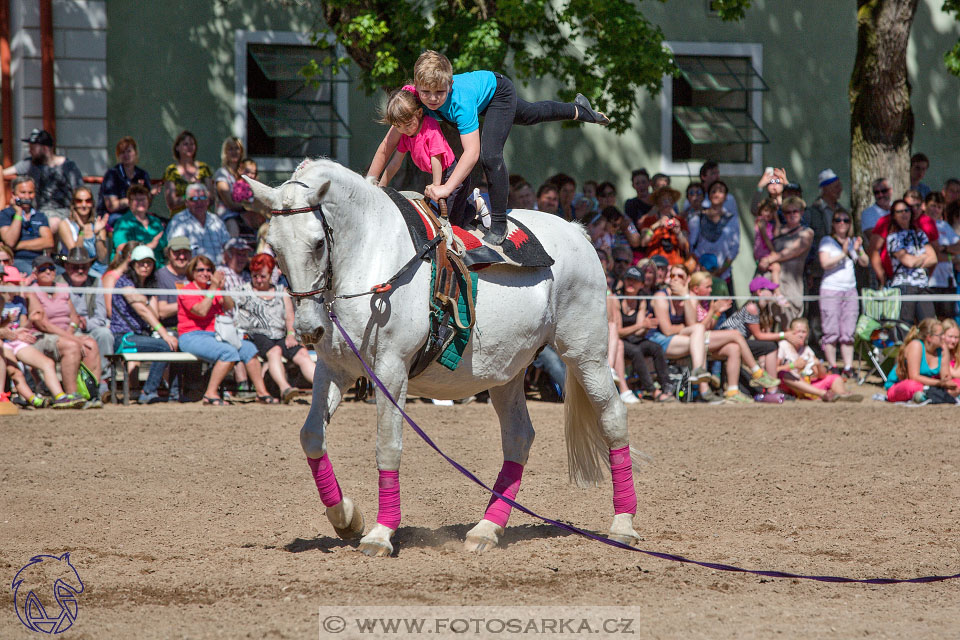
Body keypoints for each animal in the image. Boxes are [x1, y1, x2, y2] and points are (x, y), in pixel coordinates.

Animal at [244, 159, 640, 556]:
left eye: (316, 243)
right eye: (274, 247)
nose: (307, 329)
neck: (371, 254)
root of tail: (577, 232)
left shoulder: (391, 370)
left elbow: (388, 446)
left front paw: (381, 533)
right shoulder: (334, 369)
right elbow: (311, 435)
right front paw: (346, 519)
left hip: (586, 354)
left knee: (613, 418)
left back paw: (623, 525)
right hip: (507, 370)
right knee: (518, 437)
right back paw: (487, 528)